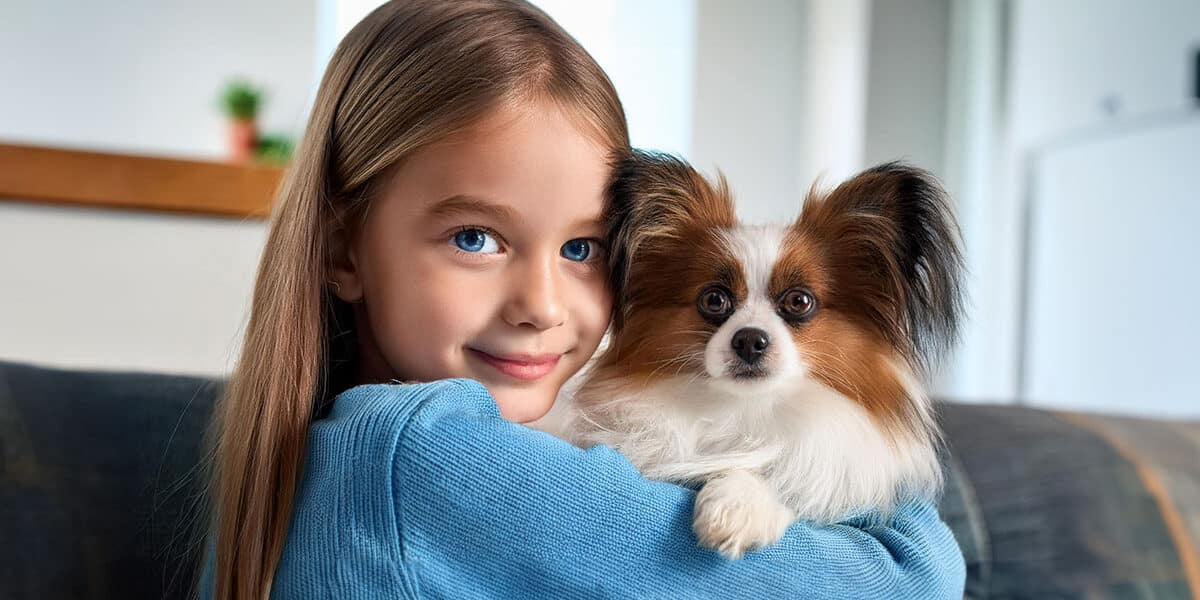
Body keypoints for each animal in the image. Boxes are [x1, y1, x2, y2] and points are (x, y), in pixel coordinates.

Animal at [535, 148, 964, 556]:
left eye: (799, 301)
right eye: (714, 299)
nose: (750, 340)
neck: (745, 413)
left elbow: (790, 477)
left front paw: (739, 506)